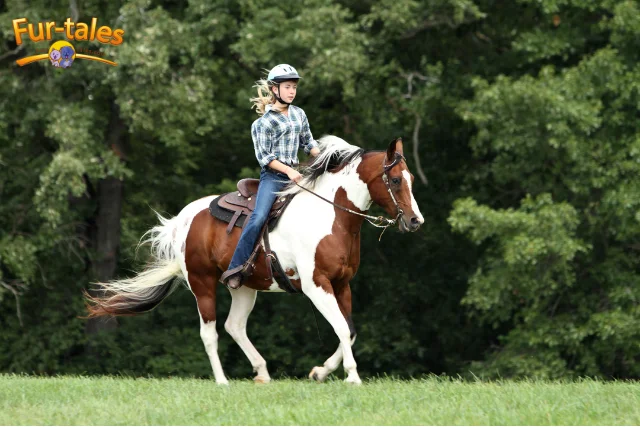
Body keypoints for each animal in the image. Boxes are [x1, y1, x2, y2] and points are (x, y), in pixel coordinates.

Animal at [85, 135, 424, 385]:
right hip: (202, 283)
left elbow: (350, 331)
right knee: (210, 332)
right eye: (395, 180)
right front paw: (352, 377)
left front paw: (320, 372)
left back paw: (262, 372)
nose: (415, 220)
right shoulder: (317, 285)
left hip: (244, 287)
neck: (331, 216)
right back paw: (222, 381)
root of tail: (182, 220)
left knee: (234, 325)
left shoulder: (342, 284)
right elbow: (341, 327)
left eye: (410, 178)